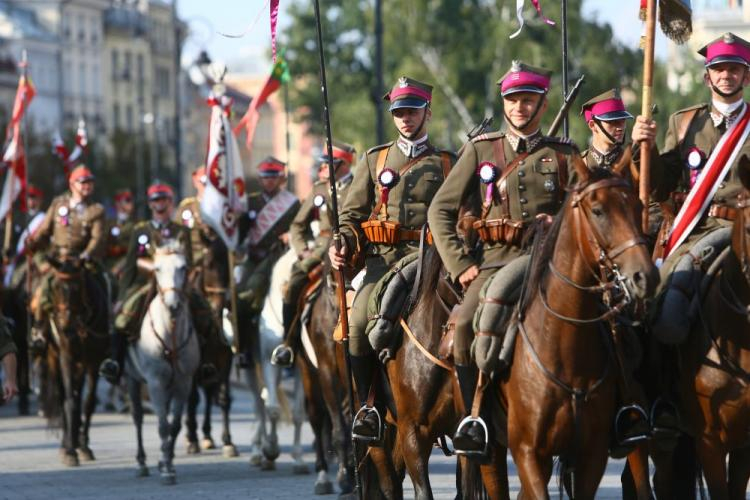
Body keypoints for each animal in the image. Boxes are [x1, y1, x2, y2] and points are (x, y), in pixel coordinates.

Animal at [39, 256, 110, 466]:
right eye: (55, 287)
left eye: (78, 288)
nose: (65, 327)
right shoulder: (66, 357)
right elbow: (69, 402)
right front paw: (69, 451)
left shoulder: (93, 361)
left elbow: (88, 402)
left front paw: (84, 446)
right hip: (54, 358)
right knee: (64, 397)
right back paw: (66, 443)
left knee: (78, 398)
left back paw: (78, 440)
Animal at [125, 242, 200, 484]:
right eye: (157, 269)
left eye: (183, 267)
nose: (173, 304)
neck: (171, 334)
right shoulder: (155, 383)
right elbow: (162, 426)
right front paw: (166, 469)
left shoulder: (184, 383)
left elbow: (174, 425)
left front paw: (168, 463)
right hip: (132, 379)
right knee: (138, 417)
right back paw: (141, 463)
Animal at [244, 246, 308, 472]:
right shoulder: (267, 362)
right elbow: (272, 410)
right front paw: (270, 449)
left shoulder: (299, 367)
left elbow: (298, 413)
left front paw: (298, 459)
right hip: (250, 367)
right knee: (258, 403)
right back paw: (258, 452)